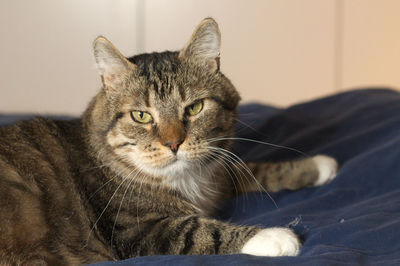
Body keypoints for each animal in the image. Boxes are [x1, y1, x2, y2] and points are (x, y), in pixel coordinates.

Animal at [0, 17, 338, 264]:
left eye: (195, 107)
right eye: (141, 116)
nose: (174, 143)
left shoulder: (217, 168)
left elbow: (251, 169)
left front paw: (318, 166)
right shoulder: (138, 230)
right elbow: (198, 231)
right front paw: (275, 237)